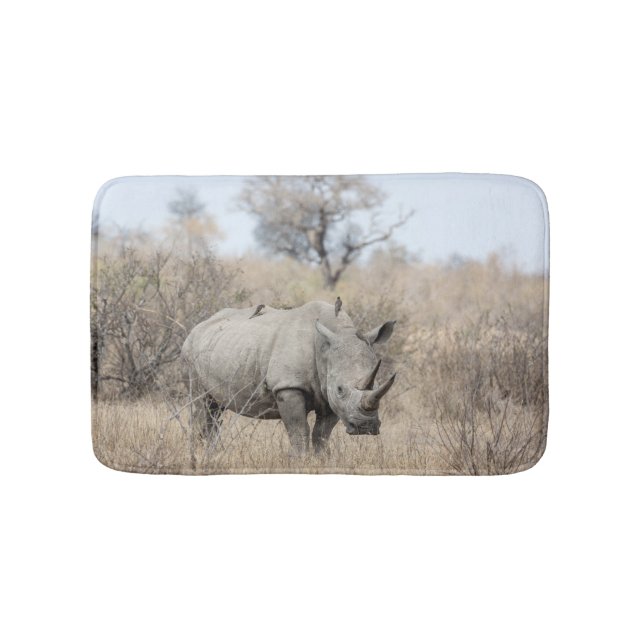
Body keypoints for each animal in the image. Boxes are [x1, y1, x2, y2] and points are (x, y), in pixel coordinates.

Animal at [181, 301, 397, 454]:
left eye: (378, 383)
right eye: (340, 389)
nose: (365, 427)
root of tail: (197, 327)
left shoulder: (329, 395)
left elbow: (321, 435)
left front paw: (322, 460)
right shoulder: (288, 386)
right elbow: (299, 431)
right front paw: (300, 460)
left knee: (214, 411)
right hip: (190, 353)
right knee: (203, 406)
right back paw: (199, 454)